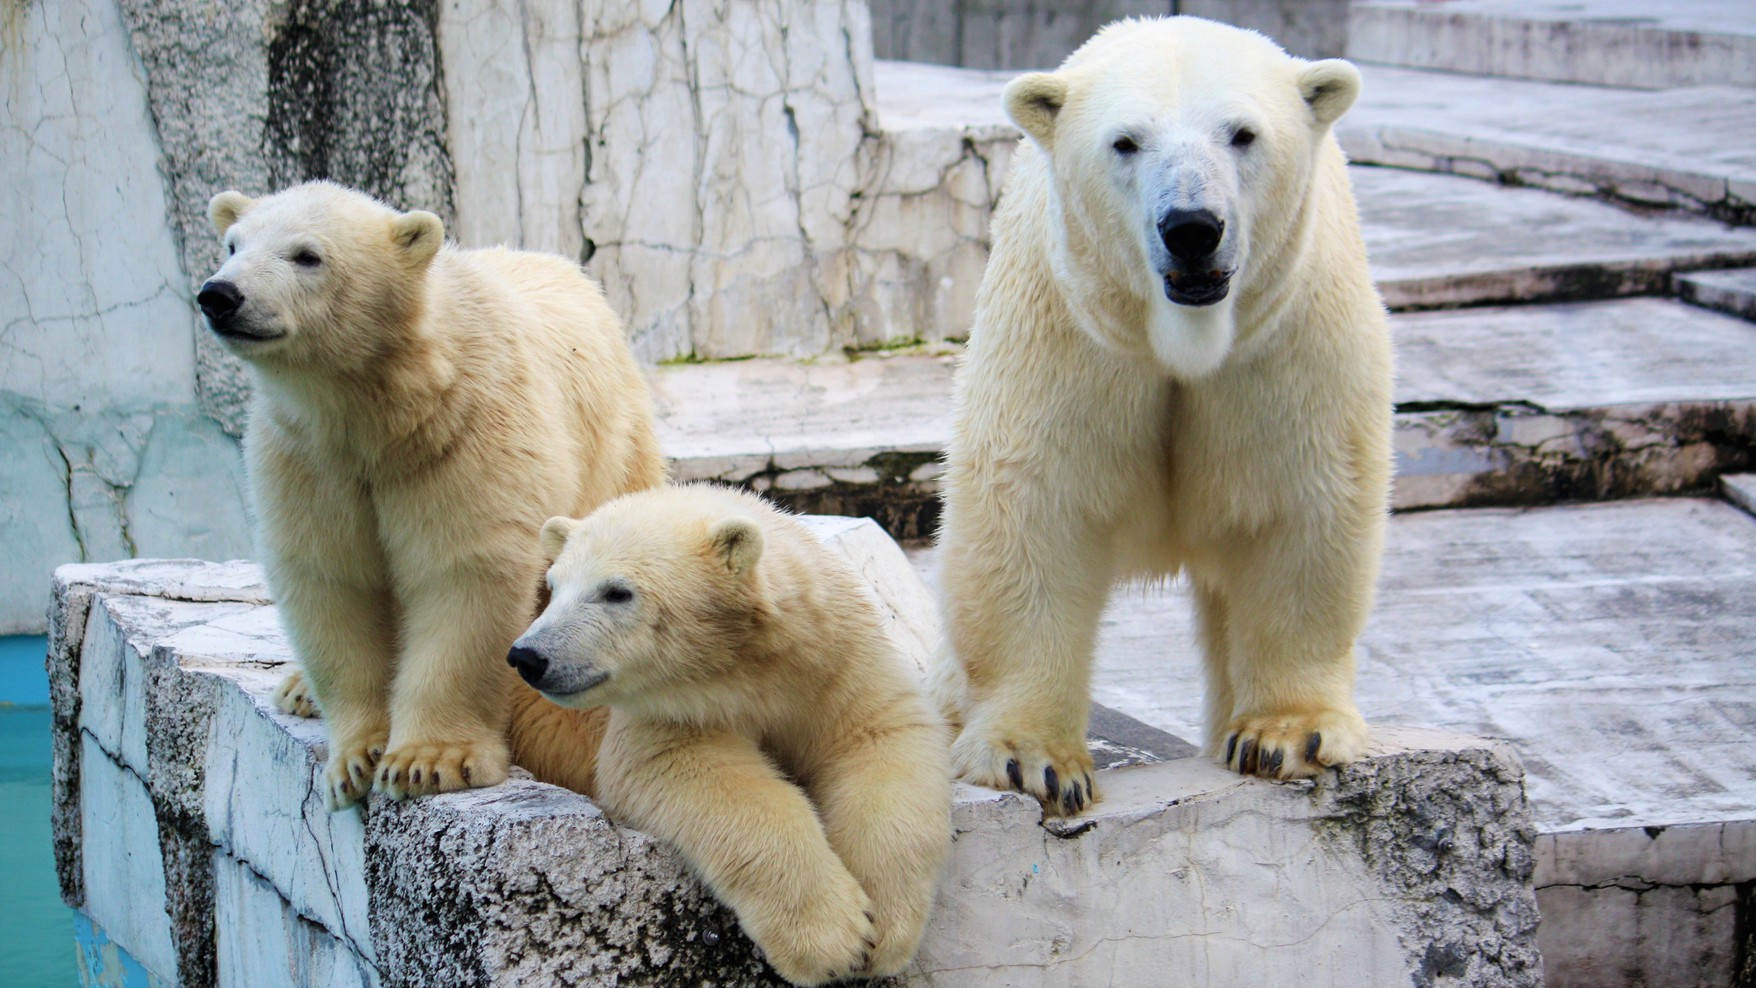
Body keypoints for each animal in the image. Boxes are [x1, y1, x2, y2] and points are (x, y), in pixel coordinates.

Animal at [201, 181, 663, 807]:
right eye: (232, 244)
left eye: (306, 255)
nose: (219, 294)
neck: (385, 409)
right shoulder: (308, 458)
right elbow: (331, 576)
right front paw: (356, 760)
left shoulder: (464, 431)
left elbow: (460, 571)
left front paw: (428, 762)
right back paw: (297, 688)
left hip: (614, 446)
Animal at [941, 17, 1390, 821]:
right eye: (1126, 141)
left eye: (1242, 133)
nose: (1192, 227)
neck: (1182, 336)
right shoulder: (1072, 332)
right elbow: (1033, 511)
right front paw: (1032, 759)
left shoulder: (1284, 340)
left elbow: (1302, 505)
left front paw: (1287, 734)